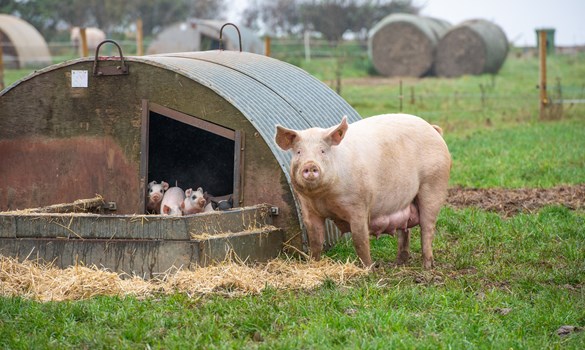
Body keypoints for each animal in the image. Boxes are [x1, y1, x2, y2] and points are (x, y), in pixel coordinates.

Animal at [274, 114, 452, 268]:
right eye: (299, 152)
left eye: (322, 151)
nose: (310, 165)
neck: (323, 197)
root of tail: (433, 129)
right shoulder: (308, 209)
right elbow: (316, 240)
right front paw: (314, 264)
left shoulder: (358, 205)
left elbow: (360, 240)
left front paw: (368, 269)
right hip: (406, 201)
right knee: (405, 230)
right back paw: (398, 264)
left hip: (434, 185)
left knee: (427, 227)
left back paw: (427, 266)